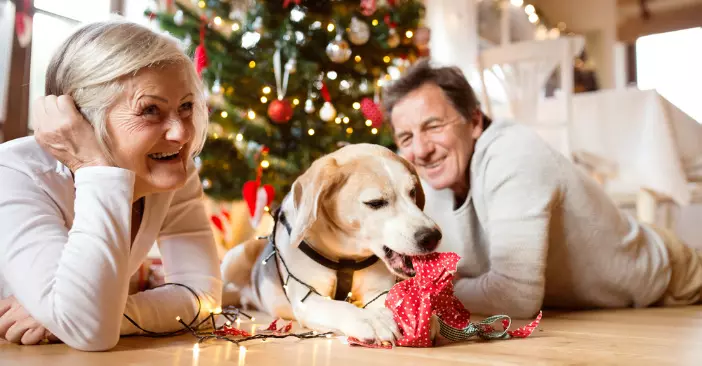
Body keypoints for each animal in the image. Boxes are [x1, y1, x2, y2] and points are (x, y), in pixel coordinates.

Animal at [221, 143, 440, 344]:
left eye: (412, 193)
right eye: (375, 203)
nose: (433, 236)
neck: (346, 256)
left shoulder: (377, 291)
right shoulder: (308, 300)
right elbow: (340, 306)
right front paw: (368, 319)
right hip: (233, 258)